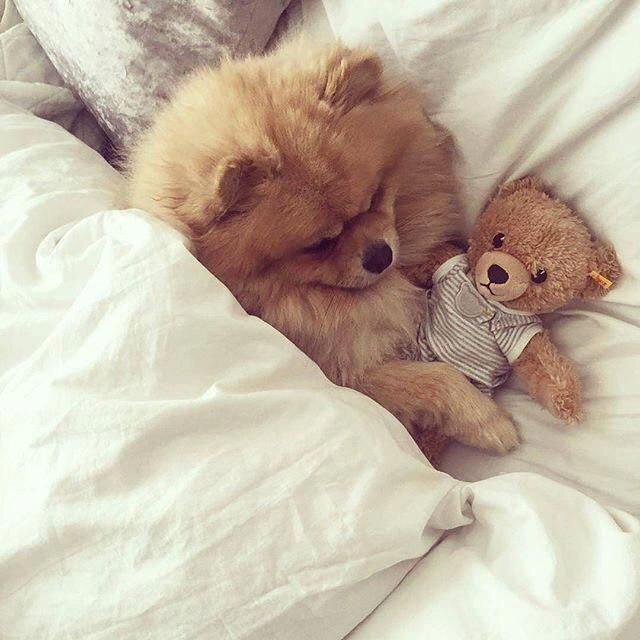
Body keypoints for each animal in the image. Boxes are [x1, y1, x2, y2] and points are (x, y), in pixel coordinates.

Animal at [126, 41, 520, 460]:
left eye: (374, 198)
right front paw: (486, 420)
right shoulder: (345, 371)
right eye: (318, 245)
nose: (381, 256)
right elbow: (434, 378)